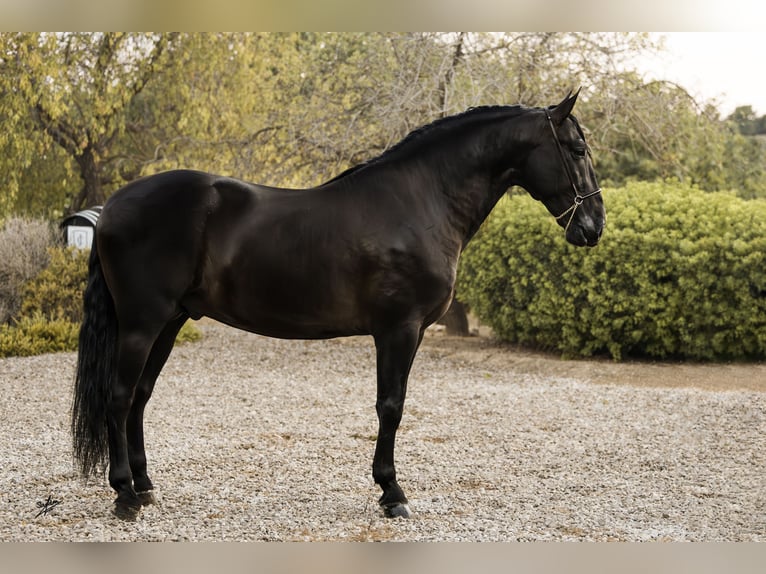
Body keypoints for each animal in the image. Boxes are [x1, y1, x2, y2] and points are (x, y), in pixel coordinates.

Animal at [70, 90, 608, 520]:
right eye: (577, 149)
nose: (594, 226)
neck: (422, 201)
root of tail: (112, 206)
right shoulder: (399, 329)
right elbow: (391, 406)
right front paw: (392, 492)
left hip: (171, 321)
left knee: (140, 397)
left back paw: (145, 487)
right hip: (141, 323)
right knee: (119, 397)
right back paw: (124, 495)